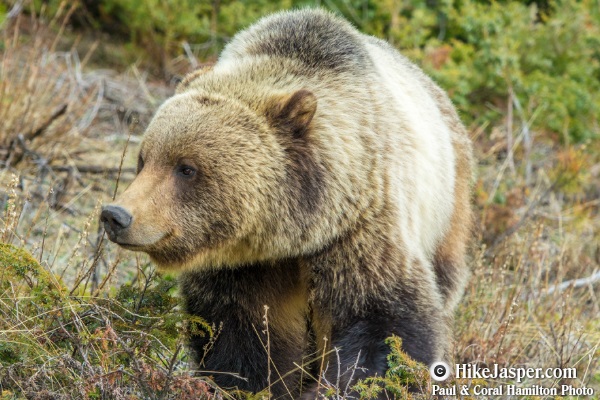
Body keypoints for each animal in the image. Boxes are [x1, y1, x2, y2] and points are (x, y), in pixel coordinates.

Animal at [102, 7, 474, 398]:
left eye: (186, 168)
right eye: (144, 159)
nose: (116, 215)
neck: (292, 233)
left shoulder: (359, 230)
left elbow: (383, 324)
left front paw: (342, 385)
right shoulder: (244, 267)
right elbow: (246, 335)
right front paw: (259, 383)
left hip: (448, 212)